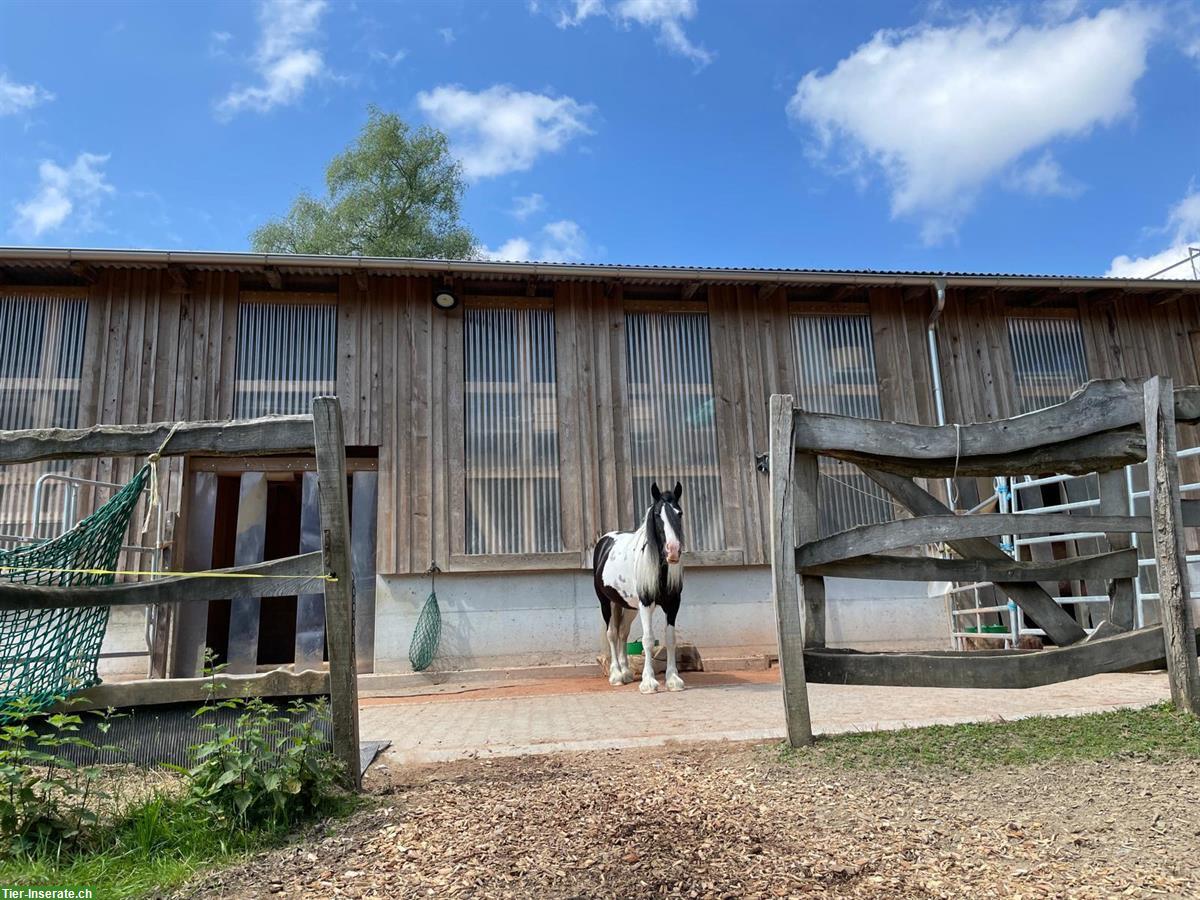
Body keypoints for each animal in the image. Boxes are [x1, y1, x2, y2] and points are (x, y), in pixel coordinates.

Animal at [590, 482, 686, 696]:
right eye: (658, 514)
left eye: (679, 513)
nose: (673, 550)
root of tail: (605, 540)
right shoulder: (646, 604)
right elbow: (648, 640)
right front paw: (649, 682)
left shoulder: (673, 605)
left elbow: (670, 639)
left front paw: (673, 679)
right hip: (607, 603)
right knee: (611, 633)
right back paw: (616, 675)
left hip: (628, 606)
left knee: (622, 633)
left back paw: (626, 672)